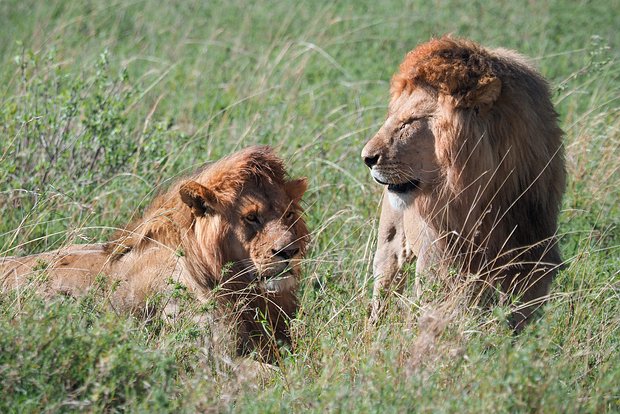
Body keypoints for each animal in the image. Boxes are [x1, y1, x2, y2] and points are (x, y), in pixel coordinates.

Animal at [364, 36, 568, 330]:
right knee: (382, 295)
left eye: (410, 122)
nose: (366, 158)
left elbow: (516, 321)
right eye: (393, 119)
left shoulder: (531, 263)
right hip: (390, 247)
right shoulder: (439, 261)